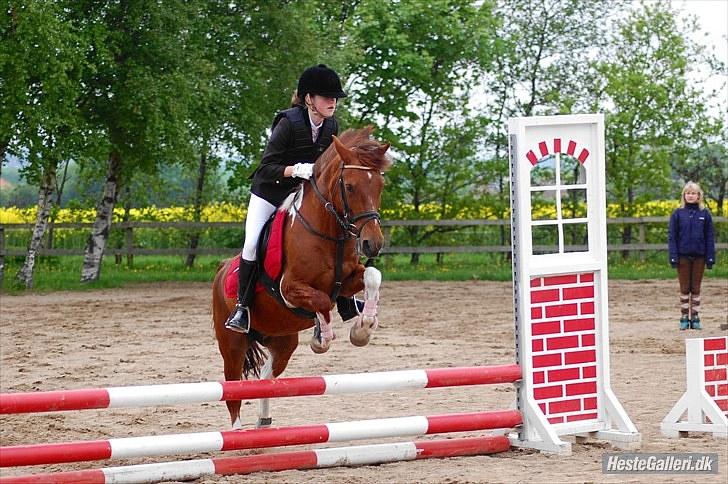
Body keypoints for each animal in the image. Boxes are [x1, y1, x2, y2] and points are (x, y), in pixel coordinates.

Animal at [212, 127, 390, 428]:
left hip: (282, 341)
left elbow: (372, 276)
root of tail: (221, 270)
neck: (328, 232)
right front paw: (322, 339)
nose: (372, 245)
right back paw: (238, 434)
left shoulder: (348, 280)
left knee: (266, 376)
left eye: (380, 186)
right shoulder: (289, 289)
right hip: (232, 344)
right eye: (350, 186)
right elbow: (321, 301)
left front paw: (363, 328)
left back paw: (263, 422)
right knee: (233, 391)